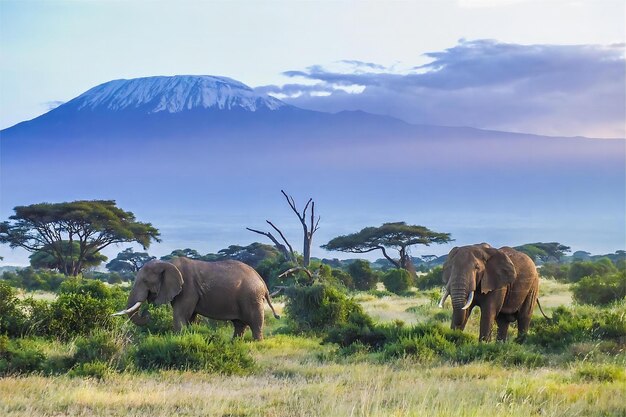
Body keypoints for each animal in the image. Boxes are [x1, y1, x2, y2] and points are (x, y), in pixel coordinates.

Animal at [111, 255, 278, 340]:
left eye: (145, 281)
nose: (147, 314)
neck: (168, 263)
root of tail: (262, 281)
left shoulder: (188, 288)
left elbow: (180, 315)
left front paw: (178, 339)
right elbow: (189, 317)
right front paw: (187, 336)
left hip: (252, 297)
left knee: (255, 323)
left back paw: (256, 343)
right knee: (239, 324)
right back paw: (235, 343)